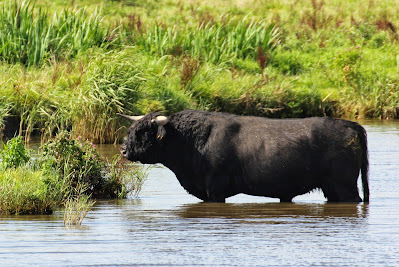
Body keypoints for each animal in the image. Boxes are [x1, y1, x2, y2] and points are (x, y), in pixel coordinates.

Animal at [120, 110, 370, 204]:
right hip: (332, 189)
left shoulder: (215, 190)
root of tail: (350, 125)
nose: (123, 149)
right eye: (132, 130)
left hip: (344, 186)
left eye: (142, 132)